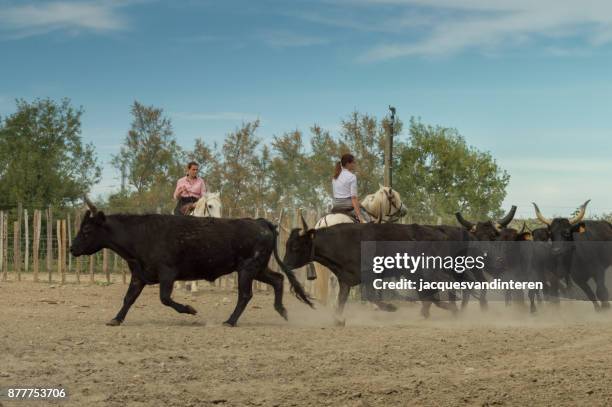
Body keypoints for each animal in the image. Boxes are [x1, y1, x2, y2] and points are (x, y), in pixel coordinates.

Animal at [69, 209, 314, 326]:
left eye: (87, 230)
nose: (72, 248)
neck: (140, 234)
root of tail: (262, 222)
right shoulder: (139, 275)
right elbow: (129, 298)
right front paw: (116, 319)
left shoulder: (167, 273)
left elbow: (165, 298)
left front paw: (190, 309)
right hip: (258, 269)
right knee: (278, 279)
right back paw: (282, 311)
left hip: (247, 269)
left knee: (245, 295)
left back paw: (230, 321)